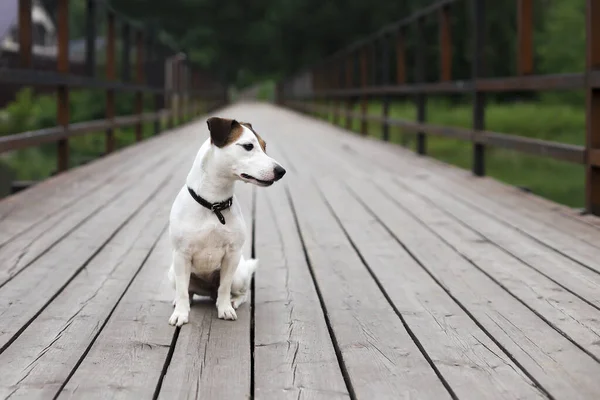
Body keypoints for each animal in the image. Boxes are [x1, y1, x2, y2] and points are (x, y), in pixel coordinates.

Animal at [165, 116, 284, 324]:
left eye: (264, 146)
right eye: (248, 146)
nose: (281, 171)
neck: (214, 204)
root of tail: (207, 291)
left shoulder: (232, 255)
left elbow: (224, 287)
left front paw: (225, 308)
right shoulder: (181, 255)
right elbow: (182, 291)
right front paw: (180, 313)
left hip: (238, 275)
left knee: (238, 292)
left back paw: (233, 301)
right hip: (173, 273)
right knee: (187, 289)